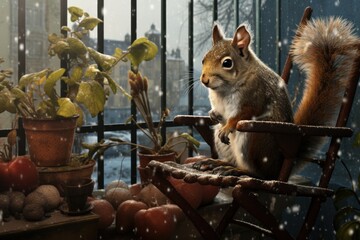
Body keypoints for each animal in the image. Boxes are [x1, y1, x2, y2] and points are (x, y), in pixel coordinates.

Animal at [194, 17, 360, 179]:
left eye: (227, 63)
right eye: (203, 59)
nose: (204, 80)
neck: (224, 89)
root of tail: (280, 166)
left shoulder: (255, 97)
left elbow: (243, 114)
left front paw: (228, 126)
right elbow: (219, 113)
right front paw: (213, 114)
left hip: (254, 139)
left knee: (261, 174)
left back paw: (239, 171)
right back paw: (217, 163)